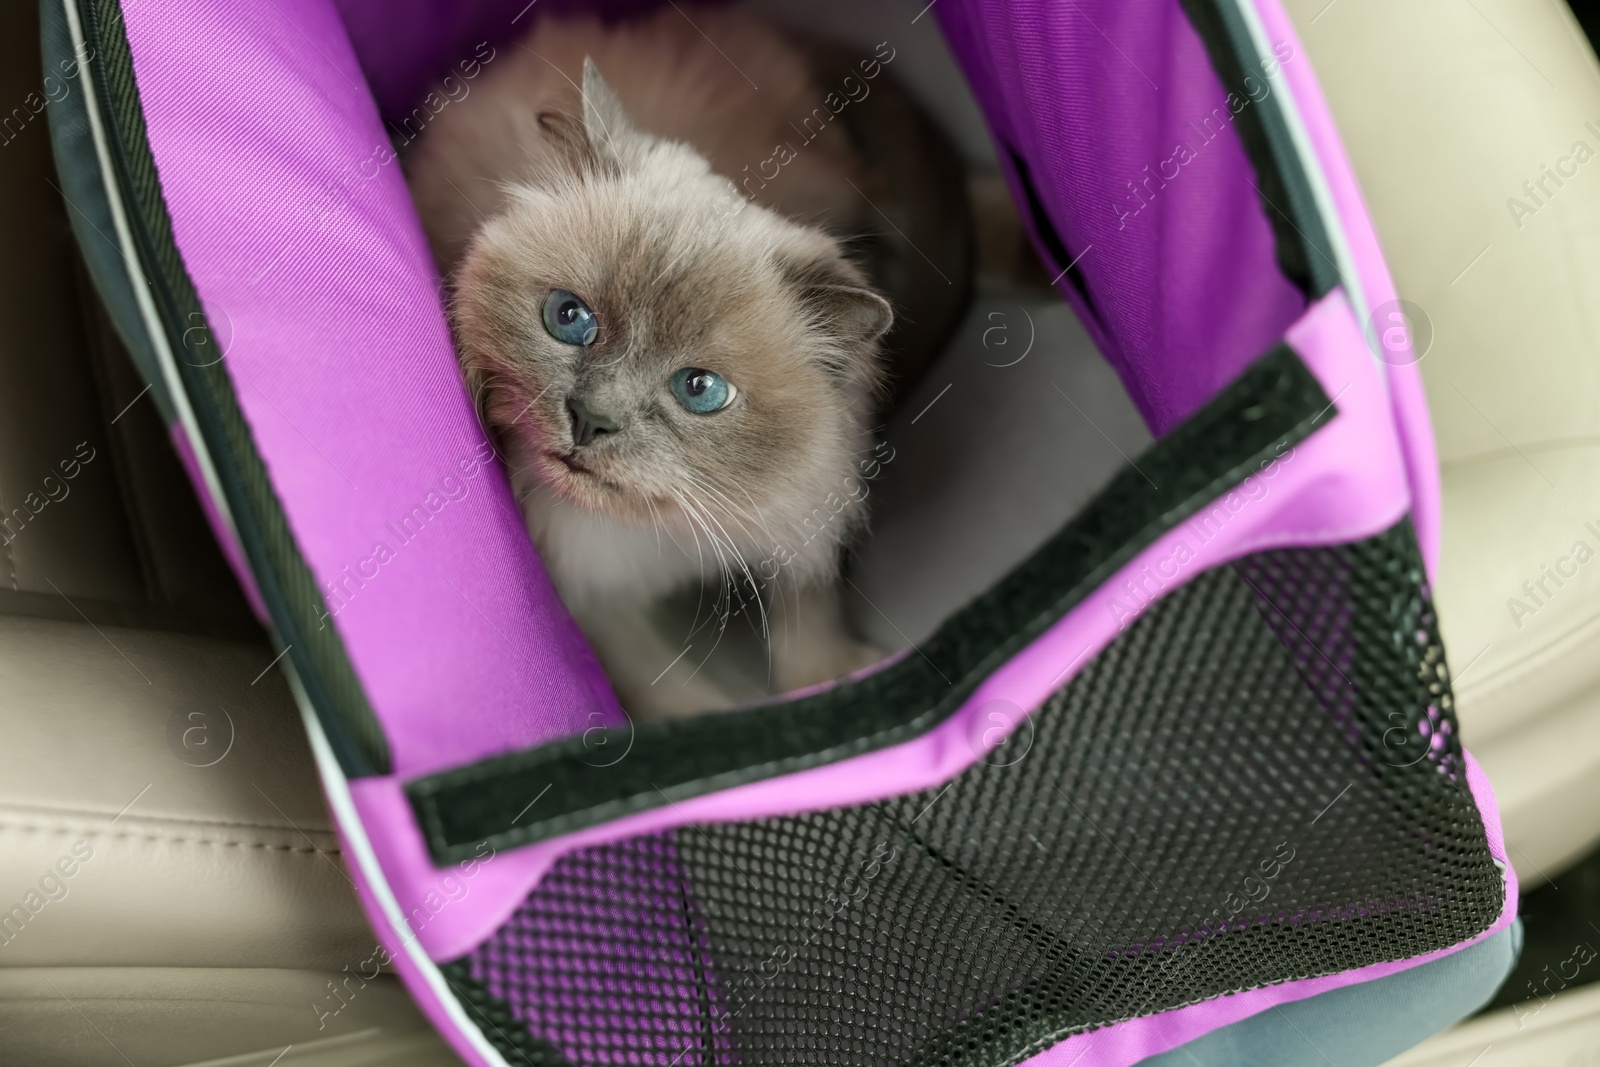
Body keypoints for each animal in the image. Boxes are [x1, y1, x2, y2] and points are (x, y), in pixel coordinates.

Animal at [406, 8, 934, 723]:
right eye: (569, 318)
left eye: (700, 390)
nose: (590, 419)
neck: (656, 531)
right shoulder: (594, 601)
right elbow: (676, 700)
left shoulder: (805, 513)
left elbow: (807, 609)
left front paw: (829, 681)